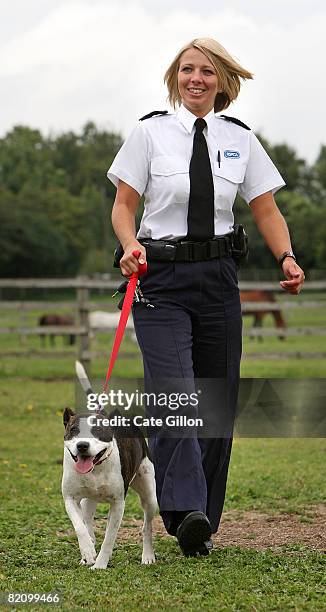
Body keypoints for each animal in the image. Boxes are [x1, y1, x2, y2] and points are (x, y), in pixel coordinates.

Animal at [62, 364, 158, 568]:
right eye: (73, 430)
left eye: (98, 431)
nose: (82, 445)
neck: (97, 467)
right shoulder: (70, 498)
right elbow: (79, 526)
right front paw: (88, 552)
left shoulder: (118, 503)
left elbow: (109, 538)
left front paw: (100, 565)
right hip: (88, 499)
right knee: (87, 517)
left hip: (150, 495)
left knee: (147, 526)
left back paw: (148, 555)